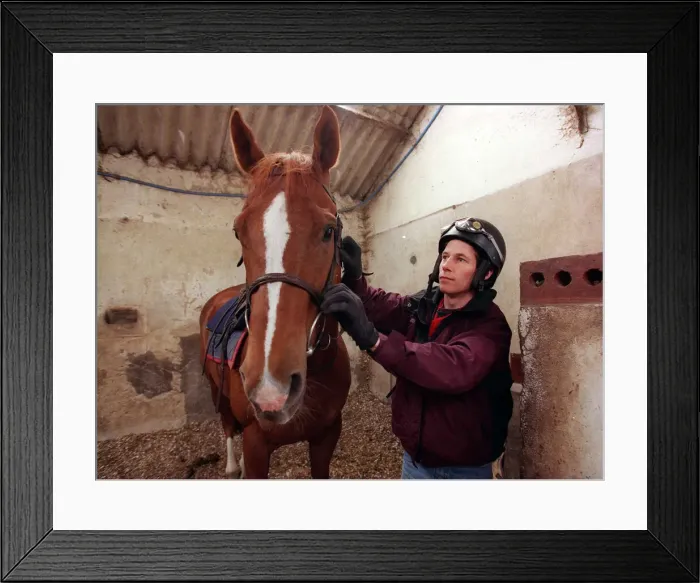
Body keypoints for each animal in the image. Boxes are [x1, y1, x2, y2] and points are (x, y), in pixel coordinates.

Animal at [198, 105, 352, 479]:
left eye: (328, 230)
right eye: (238, 232)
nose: (272, 387)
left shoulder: (328, 435)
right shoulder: (256, 445)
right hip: (215, 389)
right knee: (227, 425)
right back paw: (231, 465)